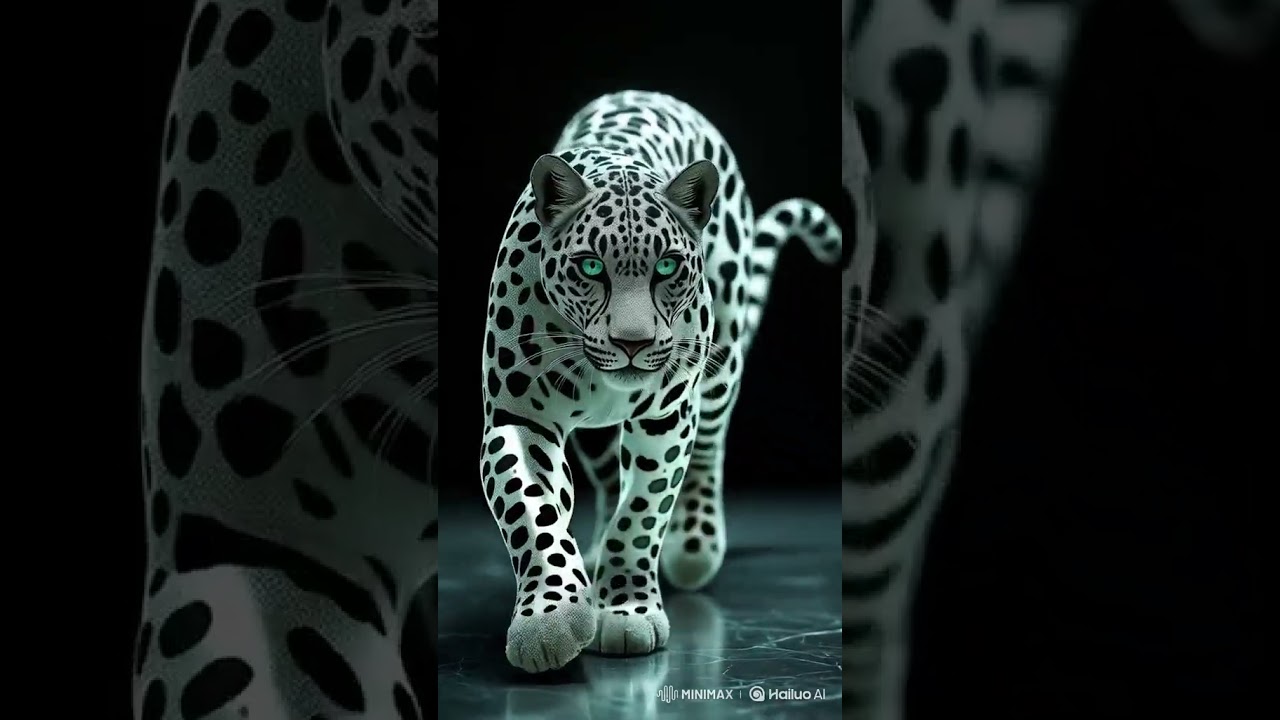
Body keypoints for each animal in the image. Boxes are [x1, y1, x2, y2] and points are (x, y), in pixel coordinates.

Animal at [479, 90, 843, 673]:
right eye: (590, 266)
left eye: (668, 266)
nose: (633, 342)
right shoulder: (519, 416)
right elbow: (533, 509)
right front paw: (551, 618)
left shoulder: (665, 418)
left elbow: (643, 512)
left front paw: (627, 610)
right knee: (608, 477)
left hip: (720, 361)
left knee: (707, 445)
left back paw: (693, 547)